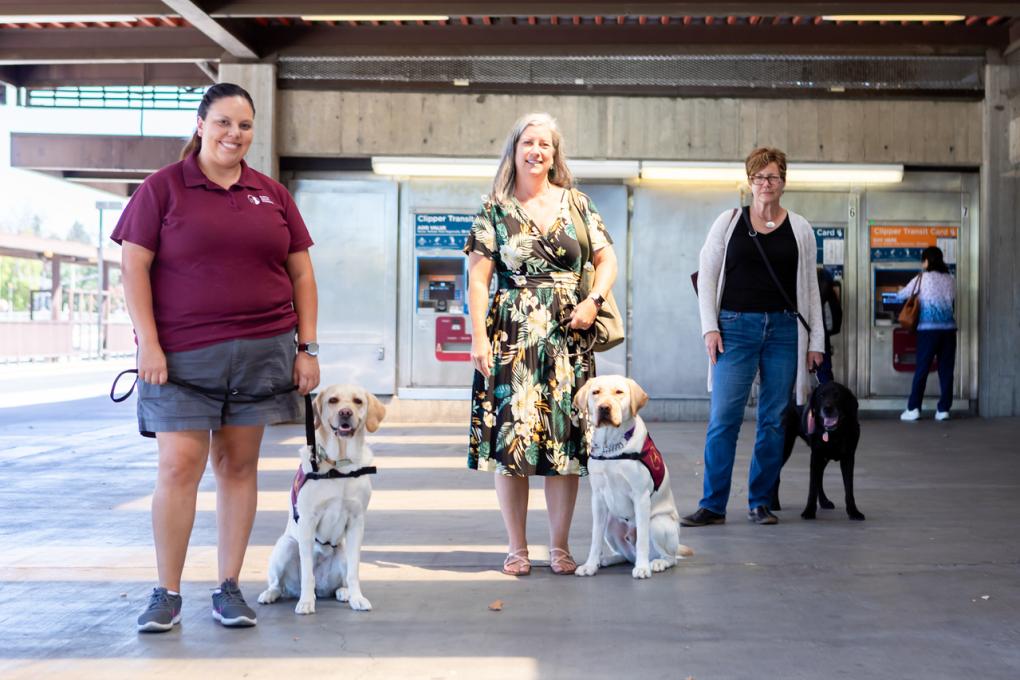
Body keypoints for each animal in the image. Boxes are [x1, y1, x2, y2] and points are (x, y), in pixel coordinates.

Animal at [257, 385, 383, 615]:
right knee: (279, 584)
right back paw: (271, 594)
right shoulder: (308, 521)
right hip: (286, 545)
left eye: (358, 401)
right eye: (333, 400)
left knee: (340, 581)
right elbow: (308, 573)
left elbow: (354, 571)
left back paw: (344, 592)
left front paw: (357, 598)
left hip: (342, 553)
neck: (340, 467)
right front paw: (306, 602)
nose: (345, 412)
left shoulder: (356, 522)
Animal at [575, 377, 693, 579]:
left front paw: (643, 568)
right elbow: (595, 538)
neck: (611, 447)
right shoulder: (598, 498)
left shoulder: (641, 496)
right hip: (610, 523)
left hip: (658, 523)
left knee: (670, 557)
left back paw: (657, 563)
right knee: (626, 555)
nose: (604, 408)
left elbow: (643, 540)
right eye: (595, 392)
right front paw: (590, 565)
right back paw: (607, 559)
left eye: (619, 392)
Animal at [771, 383, 860, 521]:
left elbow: (849, 488)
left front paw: (854, 512)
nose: (827, 408)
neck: (834, 434)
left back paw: (824, 502)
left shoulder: (848, 458)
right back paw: (774, 502)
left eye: (837, 395)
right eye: (821, 396)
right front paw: (808, 511)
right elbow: (812, 487)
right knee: (776, 475)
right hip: (785, 448)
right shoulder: (816, 457)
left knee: (819, 479)